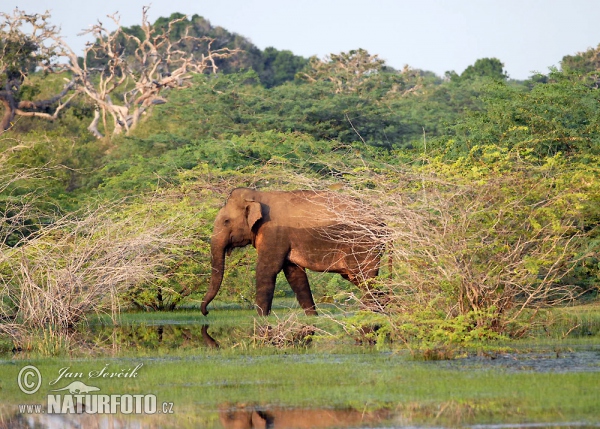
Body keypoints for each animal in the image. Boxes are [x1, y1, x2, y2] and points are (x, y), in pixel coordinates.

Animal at [199, 189, 382, 316]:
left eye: (226, 221)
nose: (206, 312)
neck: (259, 195)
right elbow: (294, 273)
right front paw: (312, 317)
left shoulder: (274, 232)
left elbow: (267, 270)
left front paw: (260, 317)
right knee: (362, 279)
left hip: (362, 246)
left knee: (365, 278)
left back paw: (368, 313)